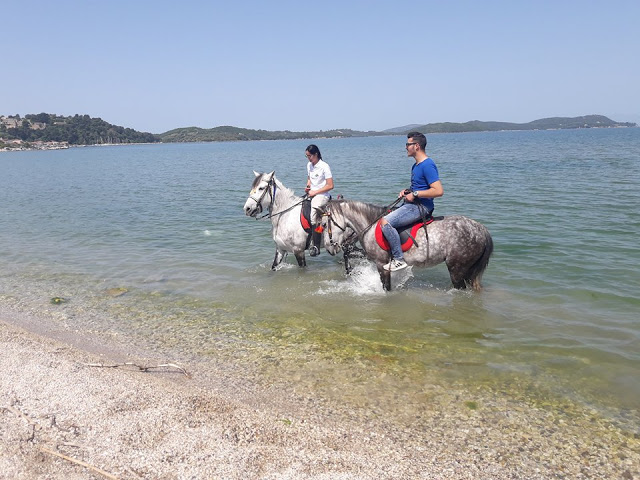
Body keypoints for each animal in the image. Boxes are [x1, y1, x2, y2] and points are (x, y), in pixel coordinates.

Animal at [320, 198, 496, 290]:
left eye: (322, 224)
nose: (329, 248)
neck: (371, 224)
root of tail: (481, 230)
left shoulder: (381, 264)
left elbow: (386, 286)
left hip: (457, 269)